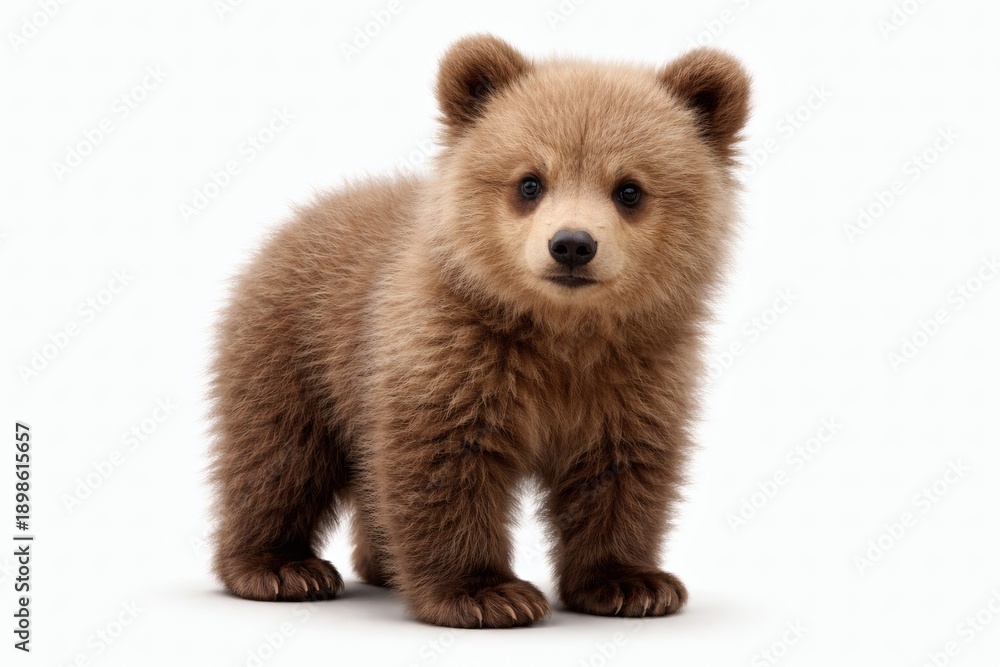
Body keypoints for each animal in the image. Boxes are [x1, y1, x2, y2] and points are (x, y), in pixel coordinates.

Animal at [209, 34, 750, 628]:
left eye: (629, 190)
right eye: (530, 182)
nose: (572, 245)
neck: (563, 333)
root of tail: (296, 218)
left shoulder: (636, 375)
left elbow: (622, 472)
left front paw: (632, 583)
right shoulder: (453, 356)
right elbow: (447, 465)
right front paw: (486, 593)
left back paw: (379, 565)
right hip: (295, 348)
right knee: (278, 457)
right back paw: (281, 567)